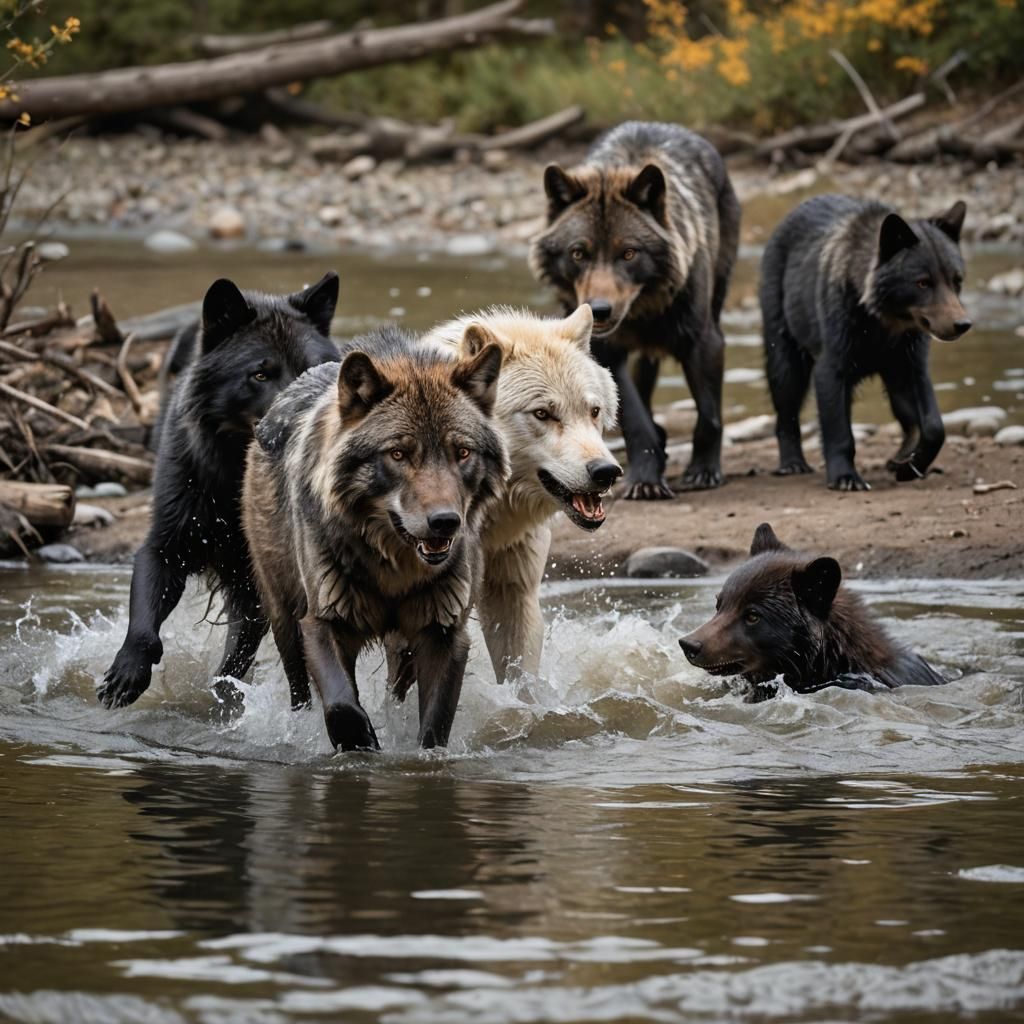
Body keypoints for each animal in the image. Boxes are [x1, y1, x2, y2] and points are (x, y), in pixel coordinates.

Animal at [98, 272, 340, 710]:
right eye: (260, 374)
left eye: (311, 370)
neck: (230, 484)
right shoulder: (164, 547)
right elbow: (143, 626)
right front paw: (128, 673)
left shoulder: (256, 585)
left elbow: (237, 659)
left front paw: (226, 699)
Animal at [241, 327, 507, 751]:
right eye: (398, 454)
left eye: (462, 452)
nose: (445, 522)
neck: (393, 570)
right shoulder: (321, 621)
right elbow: (341, 704)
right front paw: (361, 741)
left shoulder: (445, 634)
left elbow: (434, 726)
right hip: (283, 615)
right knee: (299, 689)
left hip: (403, 646)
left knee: (395, 687)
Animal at [530, 121, 740, 499]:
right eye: (578, 253)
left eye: (628, 253)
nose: (599, 310)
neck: (643, 313)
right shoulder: (604, 352)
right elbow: (635, 421)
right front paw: (646, 478)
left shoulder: (705, 341)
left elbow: (709, 415)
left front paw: (704, 470)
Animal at [761, 194, 970, 491]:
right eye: (922, 282)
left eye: (956, 280)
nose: (962, 324)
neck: (883, 323)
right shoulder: (832, 364)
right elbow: (839, 429)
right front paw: (845, 477)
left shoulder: (910, 362)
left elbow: (932, 426)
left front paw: (908, 465)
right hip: (785, 344)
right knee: (786, 406)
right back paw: (792, 463)